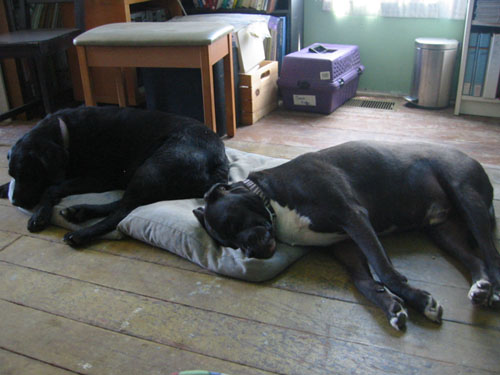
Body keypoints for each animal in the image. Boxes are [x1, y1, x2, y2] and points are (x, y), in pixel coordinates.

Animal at [0, 106, 229, 247]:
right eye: (13, 173)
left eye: (31, 175)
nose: (15, 201)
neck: (64, 132)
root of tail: (221, 164)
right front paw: (5, 188)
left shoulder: (99, 178)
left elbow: (51, 188)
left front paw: (39, 215)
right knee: (124, 205)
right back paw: (78, 211)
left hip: (151, 168)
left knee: (122, 213)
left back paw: (80, 233)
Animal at [194, 141, 500, 332]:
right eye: (228, 243)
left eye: (232, 223)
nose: (249, 251)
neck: (270, 197)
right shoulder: (347, 246)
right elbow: (365, 283)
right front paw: (392, 307)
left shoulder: (354, 217)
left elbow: (385, 271)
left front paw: (420, 301)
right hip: (443, 231)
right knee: (476, 260)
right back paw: (480, 288)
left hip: (467, 197)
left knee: (491, 255)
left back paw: (494, 291)